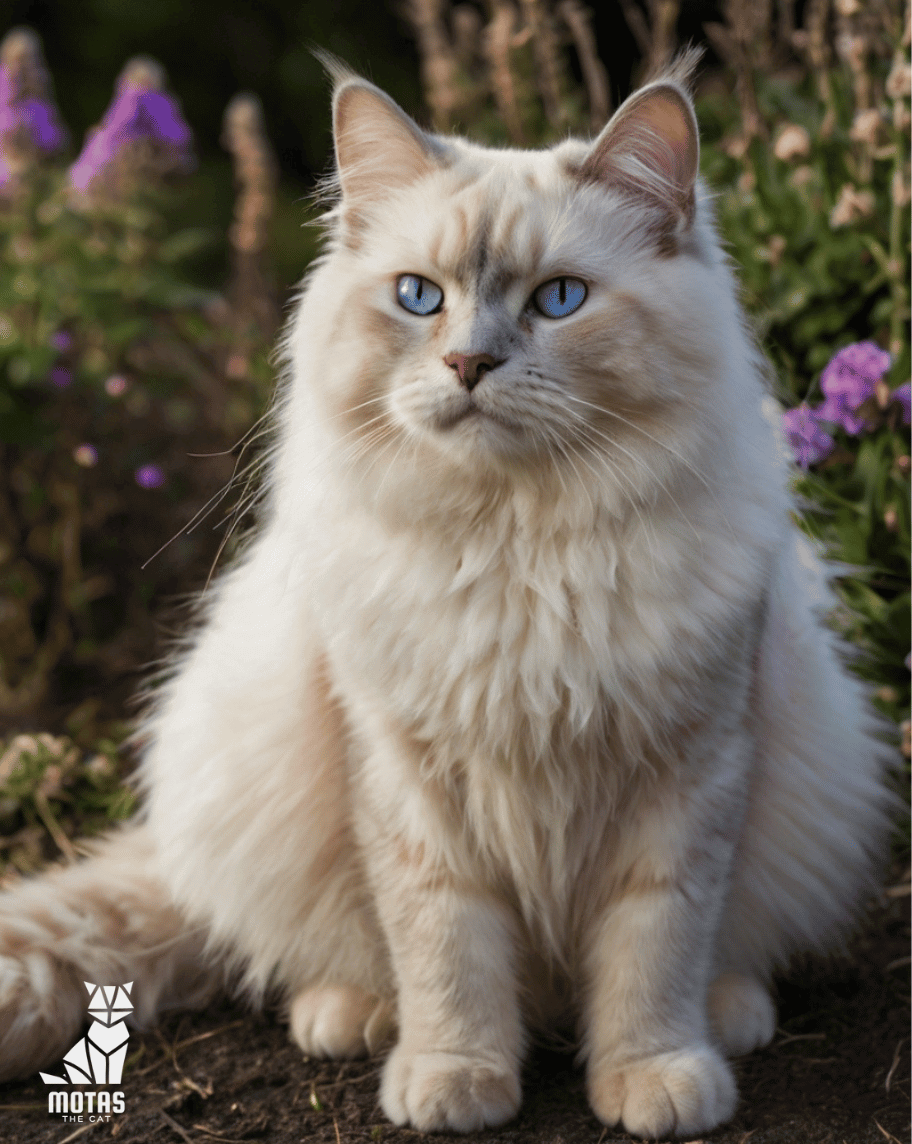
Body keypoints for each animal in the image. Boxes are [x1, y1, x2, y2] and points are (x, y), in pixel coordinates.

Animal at [0, 58, 887, 1139]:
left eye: (559, 299)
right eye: (419, 297)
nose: (468, 363)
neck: (518, 549)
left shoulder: (688, 774)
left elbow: (655, 950)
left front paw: (654, 1079)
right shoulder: (409, 780)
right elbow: (446, 950)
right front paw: (455, 1079)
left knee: (717, 958)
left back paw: (732, 1016)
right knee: (316, 956)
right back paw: (353, 1019)